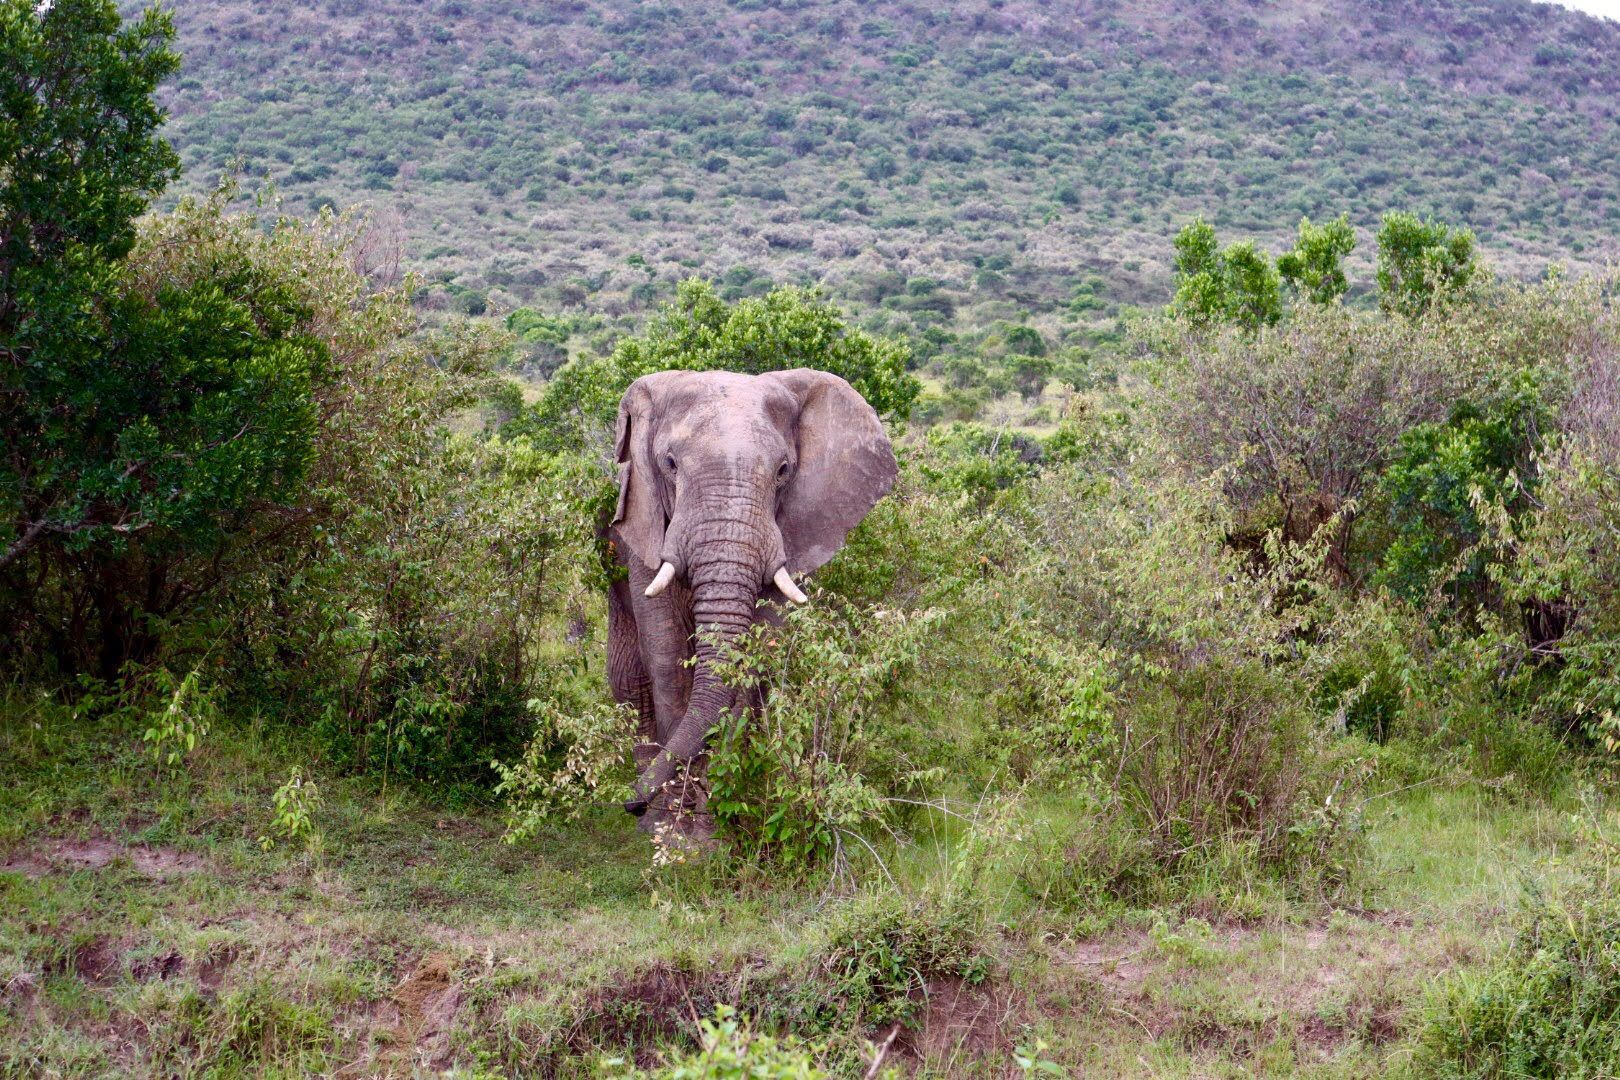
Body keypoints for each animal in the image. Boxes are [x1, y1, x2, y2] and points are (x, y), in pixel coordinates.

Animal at [605, 367, 894, 841]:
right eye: (669, 464)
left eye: (783, 470)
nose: (629, 804)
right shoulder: (646, 535)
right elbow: (666, 657)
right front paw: (670, 829)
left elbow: (754, 660)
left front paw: (715, 823)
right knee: (628, 680)